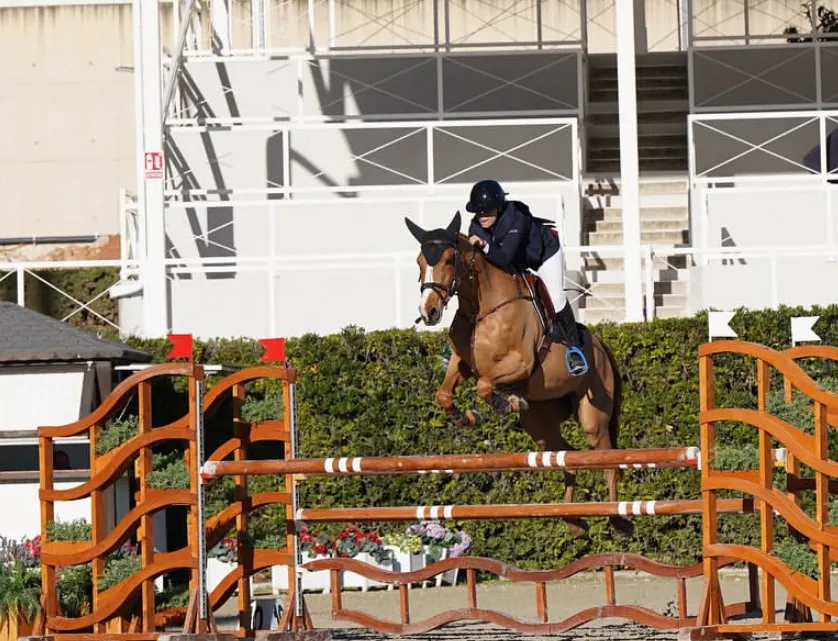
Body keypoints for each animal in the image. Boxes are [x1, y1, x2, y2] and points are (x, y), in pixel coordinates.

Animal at [404, 211, 628, 536]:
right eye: (420, 261)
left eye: (448, 259)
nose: (428, 312)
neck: (481, 307)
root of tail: (602, 348)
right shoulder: (462, 363)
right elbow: (444, 394)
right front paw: (466, 417)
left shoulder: (520, 363)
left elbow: (485, 386)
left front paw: (505, 402)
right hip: (541, 425)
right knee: (566, 456)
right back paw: (572, 520)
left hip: (592, 418)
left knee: (608, 461)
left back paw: (617, 518)